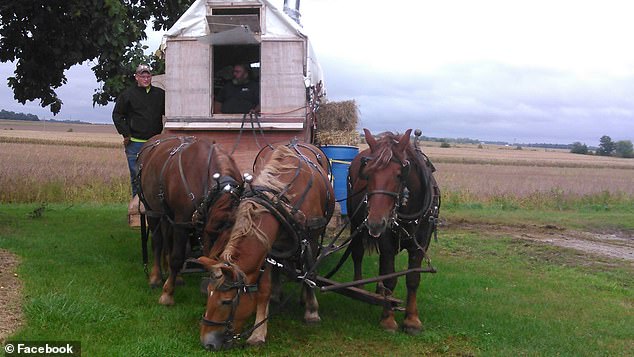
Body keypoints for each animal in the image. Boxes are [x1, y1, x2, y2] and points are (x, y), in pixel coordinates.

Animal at [137, 132, 243, 304]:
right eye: (211, 234)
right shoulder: (181, 221)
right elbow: (177, 257)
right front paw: (167, 294)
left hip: (167, 214)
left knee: (168, 240)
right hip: (151, 208)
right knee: (158, 241)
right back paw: (155, 277)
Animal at [195, 140, 334, 350]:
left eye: (226, 301)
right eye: (209, 294)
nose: (207, 343)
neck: (282, 198)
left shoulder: (309, 239)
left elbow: (309, 272)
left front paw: (312, 312)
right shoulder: (268, 245)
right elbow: (264, 288)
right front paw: (258, 332)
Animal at [346, 128, 440, 334]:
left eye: (399, 174)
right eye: (368, 174)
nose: (375, 222)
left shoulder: (421, 243)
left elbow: (413, 278)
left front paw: (412, 319)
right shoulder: (386, 241)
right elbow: (390, 277)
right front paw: (388, 319)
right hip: (355, 222)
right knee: (358, 253)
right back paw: (360, 286)